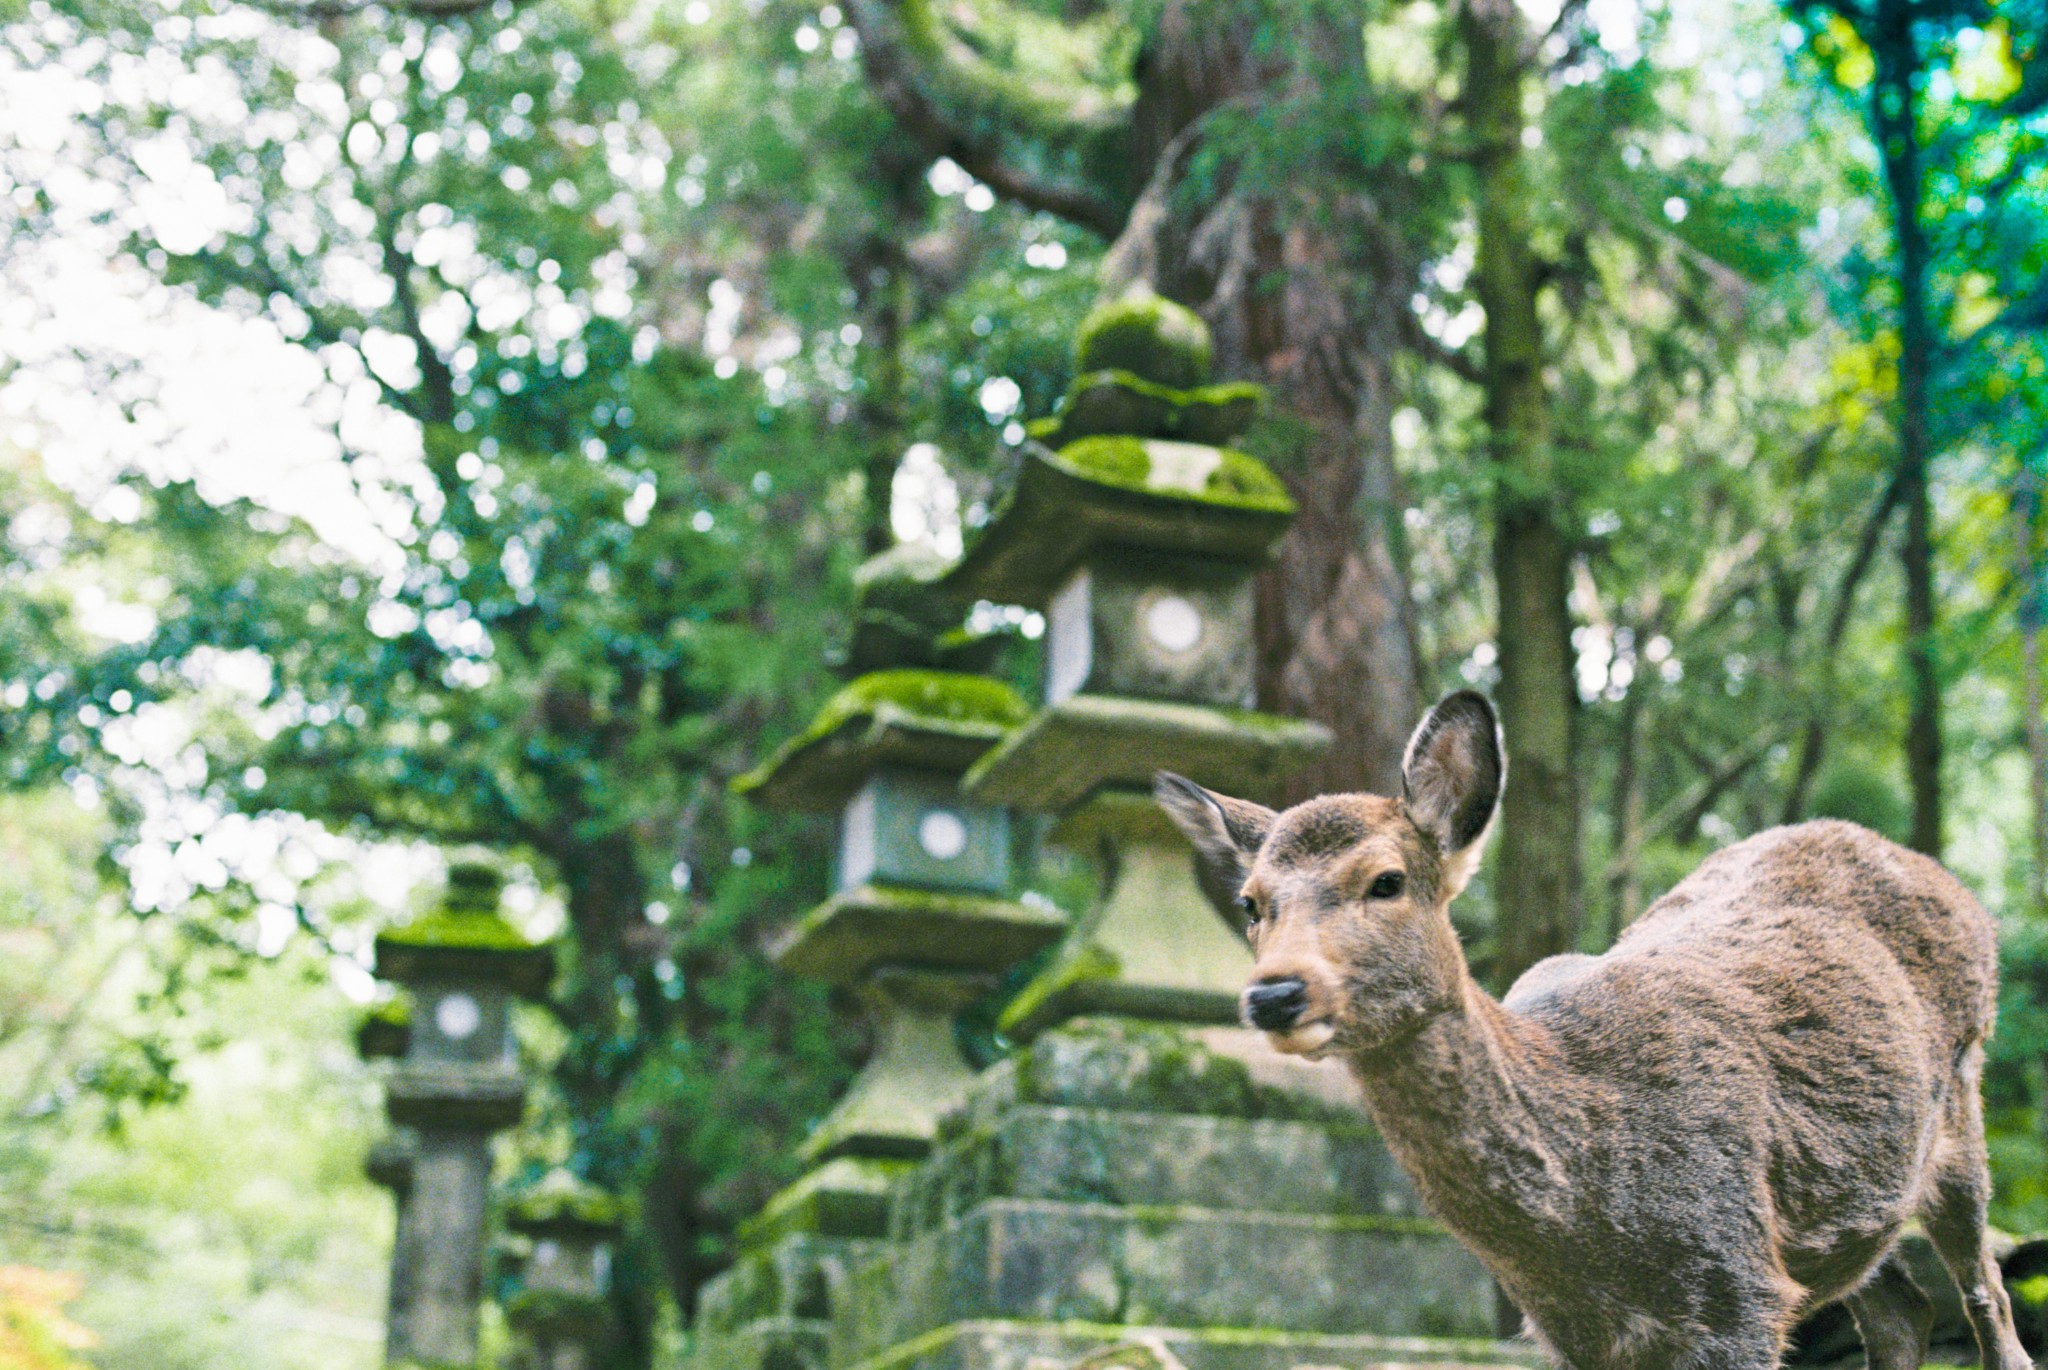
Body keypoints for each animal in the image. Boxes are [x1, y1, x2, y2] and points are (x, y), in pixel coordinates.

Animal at [1155, 696, 2031, 1367]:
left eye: (1387, 881)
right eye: (1250, 901)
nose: (1275, 994)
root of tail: (1952, 887)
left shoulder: (1737, 1287)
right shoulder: (1569, 1328)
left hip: (1961, 1110)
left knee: (1992, 1308)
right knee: (1901, 1307)